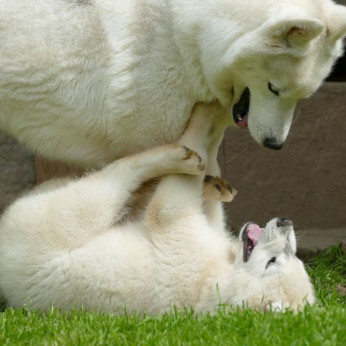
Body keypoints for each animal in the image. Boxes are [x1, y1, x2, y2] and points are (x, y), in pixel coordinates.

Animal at [0, 102, 314, 314]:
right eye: (292, 256)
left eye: (272, 262)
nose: (285, 222)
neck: (220, 279)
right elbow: (211, 218)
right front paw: (213, 179)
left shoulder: (190, 260)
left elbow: (167, 210)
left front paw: (204, 121)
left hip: (41, 229)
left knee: (100, 191)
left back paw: (176, 157)